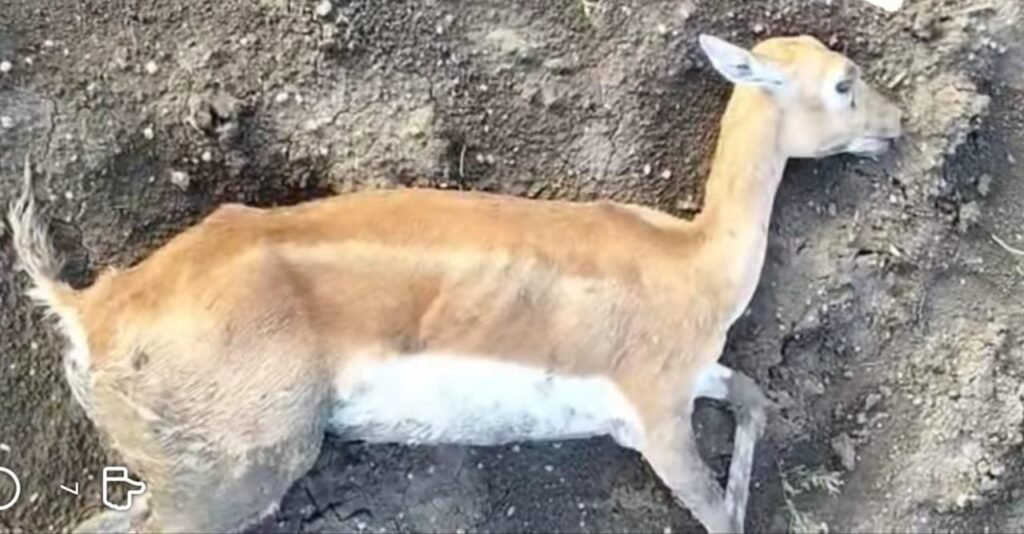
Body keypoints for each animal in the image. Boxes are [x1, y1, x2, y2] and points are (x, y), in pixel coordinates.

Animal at [7, 33, 901, 534]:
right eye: (844, 81)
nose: (896, 126)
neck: (691, 257)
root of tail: (90, 307)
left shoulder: (695, 379)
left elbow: (754, 397)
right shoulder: (658, 420)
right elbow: (714, 513)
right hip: (227, 487)